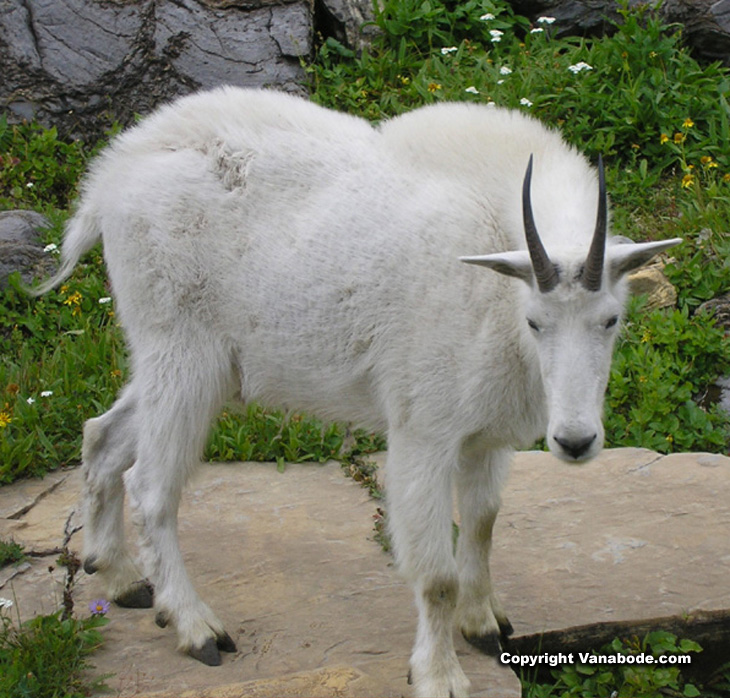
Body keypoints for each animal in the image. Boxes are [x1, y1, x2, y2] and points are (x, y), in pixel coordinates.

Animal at [34, 88, 680, 696]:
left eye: (611, 319)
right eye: (536, 322)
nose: (574, 441)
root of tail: (112, 176)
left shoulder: (484, 434)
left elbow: (483, 524)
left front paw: (484, 625)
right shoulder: (424, 430)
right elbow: (436, 574)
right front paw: (440, 676)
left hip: (194, 366)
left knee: (101, 438)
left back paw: (119, 578)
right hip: (182, 354)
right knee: (151, 486)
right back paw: (197, 628)